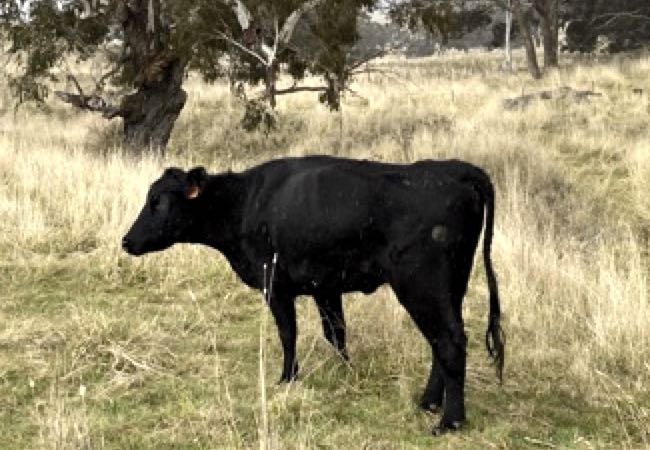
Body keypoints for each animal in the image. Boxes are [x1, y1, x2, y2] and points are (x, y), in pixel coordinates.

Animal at [122, 155, 505, 434]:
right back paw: (429, 402)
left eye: (158, 202)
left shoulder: (275, 285)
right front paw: (346, 372)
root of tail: (454, 169)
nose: (126, 241)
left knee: (449, 341)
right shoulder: (327, 287)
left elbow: (288, 333)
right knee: (443, 340)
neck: (244, 203)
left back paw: (449, 421)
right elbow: (335, 333)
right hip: (452, 285)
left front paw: (287, 378)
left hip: (421, 286)